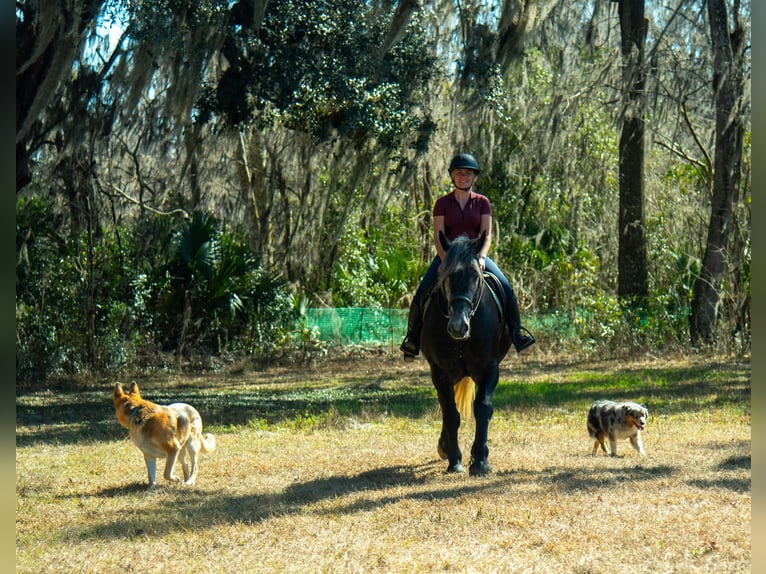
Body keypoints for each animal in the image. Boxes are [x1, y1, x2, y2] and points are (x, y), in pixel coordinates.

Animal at [420, 231, 512, 476]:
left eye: (474, 276)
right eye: (447, 276)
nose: (458, 327)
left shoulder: (490, 368)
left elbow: (483, 407)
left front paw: (480, 461)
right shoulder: (440, 372)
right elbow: (451, 414)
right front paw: (455, 460)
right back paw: (444, 446)